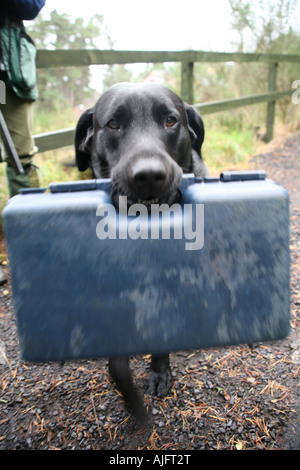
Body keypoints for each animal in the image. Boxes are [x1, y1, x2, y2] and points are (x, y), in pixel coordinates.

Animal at [74, 81, 209, 422]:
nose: (149, 175)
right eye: (113, 124)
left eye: (170, 121)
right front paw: (131, 402)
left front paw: (159, 373)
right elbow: (117, 365)